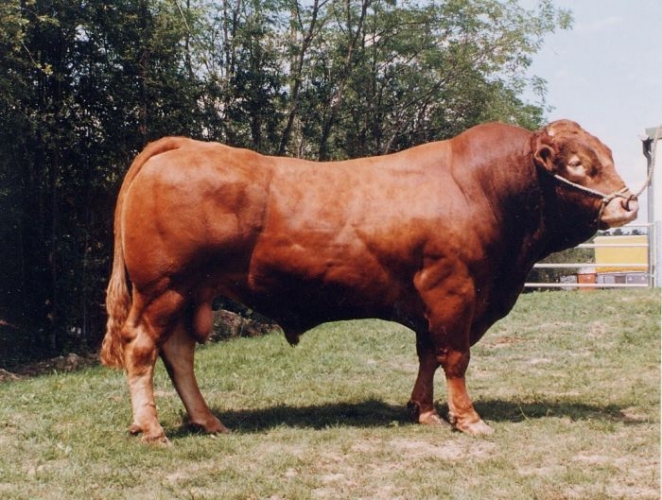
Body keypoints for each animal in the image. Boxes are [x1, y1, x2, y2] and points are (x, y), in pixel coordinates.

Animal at [101, 120, 638, 443]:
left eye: (608, 153)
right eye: (577, 163)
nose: (628, 202)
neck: (481, 189)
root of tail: (184, 145)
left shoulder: (431, 301)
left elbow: (428, 354)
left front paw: (423, 410)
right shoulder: (453, 288)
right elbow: (456, 357)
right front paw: (468, 419)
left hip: (190, 291)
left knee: (178, 353)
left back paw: (209, 421)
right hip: (164, 287)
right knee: (142, 349)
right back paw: (151, 428)